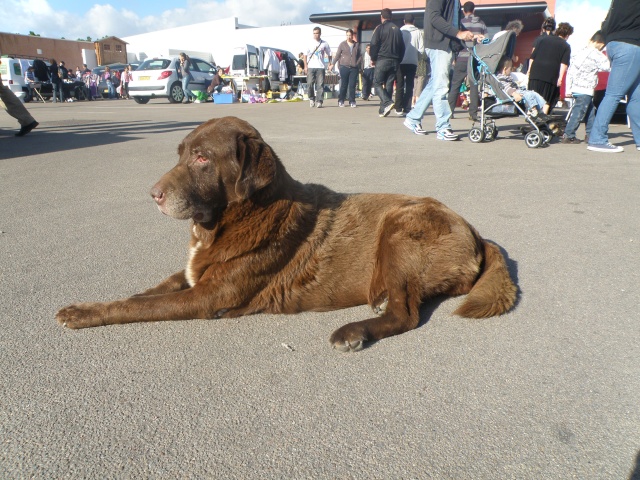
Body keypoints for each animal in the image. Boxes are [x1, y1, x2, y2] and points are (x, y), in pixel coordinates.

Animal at [57, 115, 516, 350]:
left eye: (203, 158)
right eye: (182, 154)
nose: (152, 194)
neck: (236, 218)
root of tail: (476, 231)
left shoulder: (208, 297)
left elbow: (139, 306)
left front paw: (84, 313)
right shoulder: (193, 275)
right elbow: (148, 292)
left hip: (401, 229)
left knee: (407, 315)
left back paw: (354, 332)